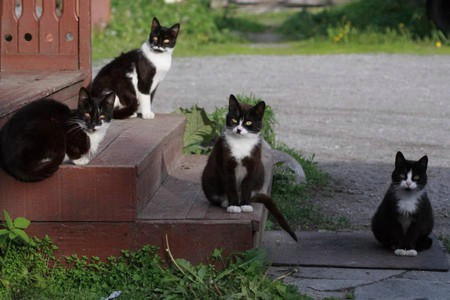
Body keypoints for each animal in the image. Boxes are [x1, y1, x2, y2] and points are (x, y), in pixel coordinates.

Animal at [202, 95, 298, 241]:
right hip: (208, 178)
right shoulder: (226, 164)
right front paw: (234, 206)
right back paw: (226, 202)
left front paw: (245, 205)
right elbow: (230, 186)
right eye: (234, 120)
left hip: (261, 173)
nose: (238, 129)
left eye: (248, 122)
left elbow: (247, 186)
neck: (241, 143)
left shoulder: (253, 164)